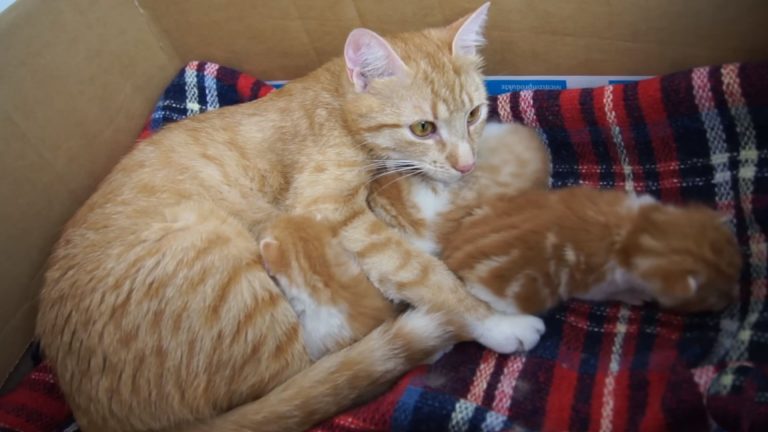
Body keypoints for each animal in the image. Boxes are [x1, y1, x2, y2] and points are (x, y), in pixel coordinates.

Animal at [36, 3, 544, 432]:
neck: (337, 105)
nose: (466, 165)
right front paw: (494, 322)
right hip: (227, 260)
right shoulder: (331, 211)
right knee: (319, 361)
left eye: (474, 113)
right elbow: (422, 271)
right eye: (423, 128)